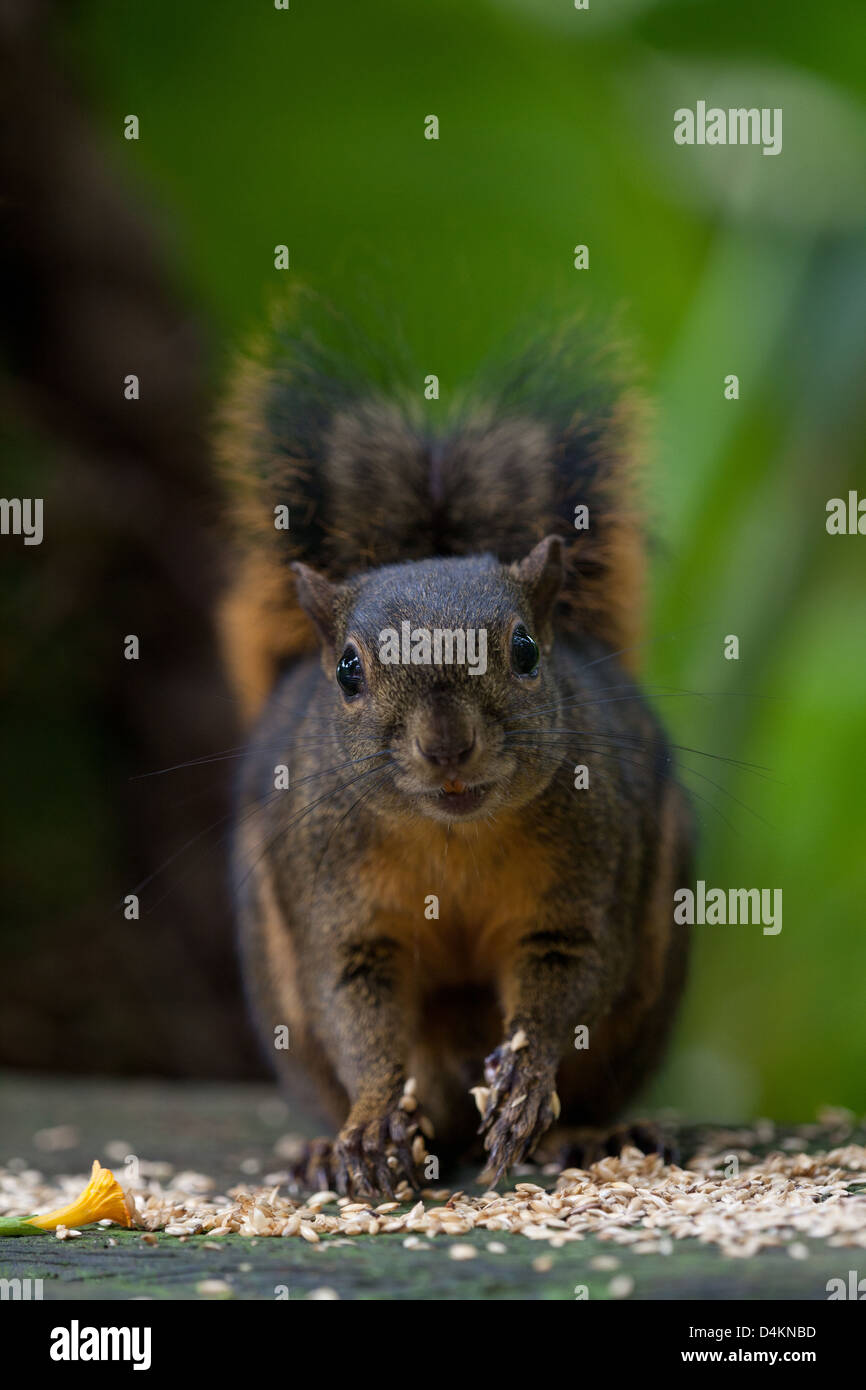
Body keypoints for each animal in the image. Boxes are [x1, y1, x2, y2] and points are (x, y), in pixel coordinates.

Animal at [218, 301, 697, 1195]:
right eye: (348, 670)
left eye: (526, 652)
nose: (447, 746)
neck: (454, 837)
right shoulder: (338, 903)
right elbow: (356, 1003)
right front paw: (372, 1122)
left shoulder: (581, 883)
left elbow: (565, 978)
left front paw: (526, 1081)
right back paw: (327, 1148)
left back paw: (589, 1133)